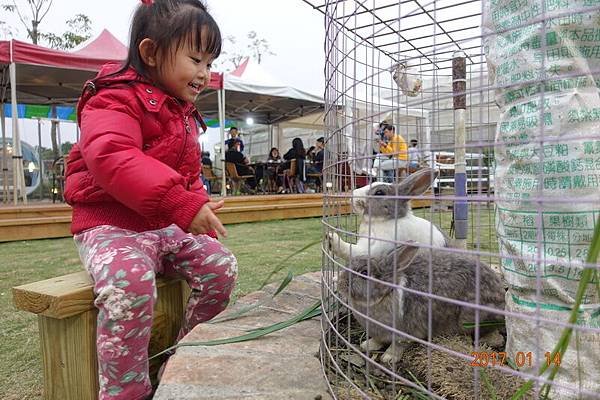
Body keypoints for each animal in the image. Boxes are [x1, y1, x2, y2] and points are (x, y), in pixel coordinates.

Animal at [338, 242, 506, 364]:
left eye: (364, 273)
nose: (339, 282)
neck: (386, 293)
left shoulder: (405, 332)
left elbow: (398, 345)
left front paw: (388, 357)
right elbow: (377, 340)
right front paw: (366, 345)